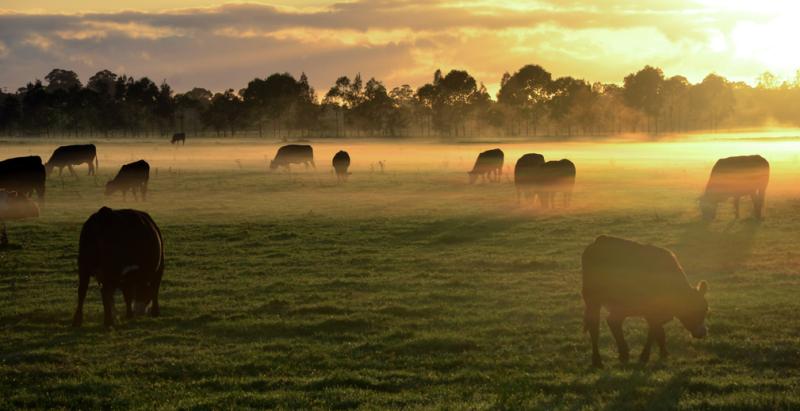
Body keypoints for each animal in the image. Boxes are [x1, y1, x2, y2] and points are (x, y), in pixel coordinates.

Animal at [580, 237, 708, 368]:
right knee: (595, 327)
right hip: (593, 300)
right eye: (696, 311)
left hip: (622, 306)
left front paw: (663, 353)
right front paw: (645, 356)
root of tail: (600, 240)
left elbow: (659, 332)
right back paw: (597, 361)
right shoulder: (651, 312)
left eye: (705, 310)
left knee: (613, 321)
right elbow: (654, 332)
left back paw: (623, 354)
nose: (702, 333)